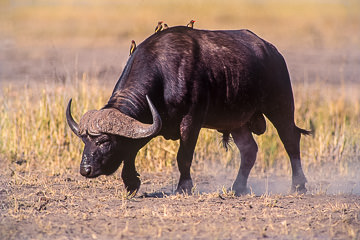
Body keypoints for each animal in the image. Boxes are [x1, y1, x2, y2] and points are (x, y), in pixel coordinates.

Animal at [66, 25, 310, 195]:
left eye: (104, 140)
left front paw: (184, 187)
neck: (165, 75)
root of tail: (273, 52)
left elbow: (183, 156)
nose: (85, 169)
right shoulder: (152, 121)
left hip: (280, 105)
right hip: (237, 121)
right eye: (84, 140)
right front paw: (131, 183)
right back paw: (237, 188)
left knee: (290, 139)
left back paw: (298, 186)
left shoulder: (191, 121)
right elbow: (131, 150)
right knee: (249, 150)